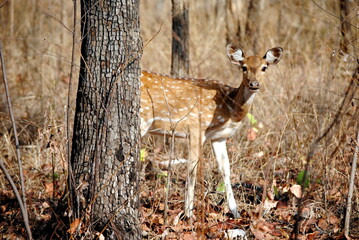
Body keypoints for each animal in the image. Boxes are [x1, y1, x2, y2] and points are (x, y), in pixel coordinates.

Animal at [141, 44, 284, 218]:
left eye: (264, 67)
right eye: (244, 67)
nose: (254, 83)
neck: (230, 109)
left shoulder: (218, 137)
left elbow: (225, 170)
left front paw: (235, 212)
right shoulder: (195, 128)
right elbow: (192, 169)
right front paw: (188, 213)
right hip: (142, 120)